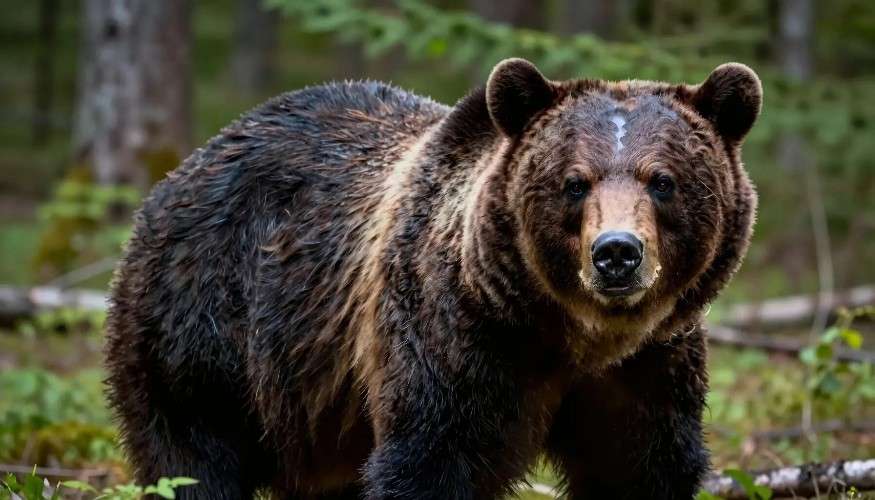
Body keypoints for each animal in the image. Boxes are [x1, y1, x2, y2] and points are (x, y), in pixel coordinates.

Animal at [105, 57, 761, 499]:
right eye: (575, 182)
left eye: (663, 180)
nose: (617, 253)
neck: (571, 333)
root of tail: (181, 171)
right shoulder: (451, 334)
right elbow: (431, 457)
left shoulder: (648, 364)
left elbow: (638, 464)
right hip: (204, 328)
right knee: (191, 456)